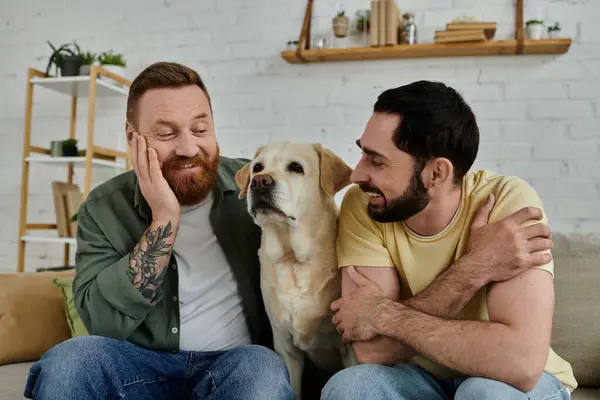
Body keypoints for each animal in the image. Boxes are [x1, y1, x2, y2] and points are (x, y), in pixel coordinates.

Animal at [234, 142, 356, 398]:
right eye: (257, 167)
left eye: (296, 167)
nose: (259, 182)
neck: (294, 260)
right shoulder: (285, 346)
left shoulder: (349, 347)